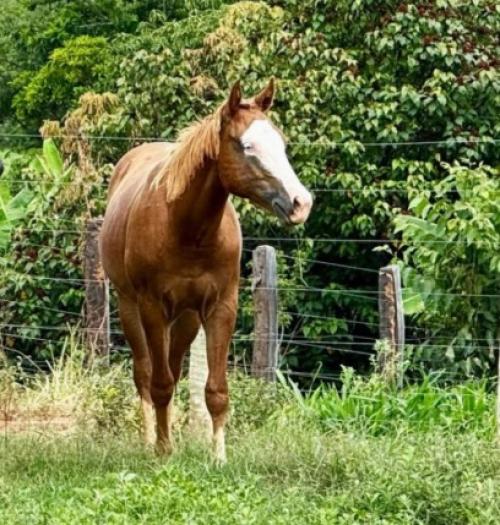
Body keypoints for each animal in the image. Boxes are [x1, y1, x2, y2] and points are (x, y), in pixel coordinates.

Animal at [98, 80, 312, 460]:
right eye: (246, 145)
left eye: (281, 142)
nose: (301, 203)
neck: (186, 230)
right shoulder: (152, 307)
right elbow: (159, 382)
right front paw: (163, 451)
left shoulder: (220, 307)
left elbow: (215, 390)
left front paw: (219, 457)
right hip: (129, 307)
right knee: (146, 373)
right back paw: (151, 439)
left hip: (186, 318)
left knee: (173, 367)